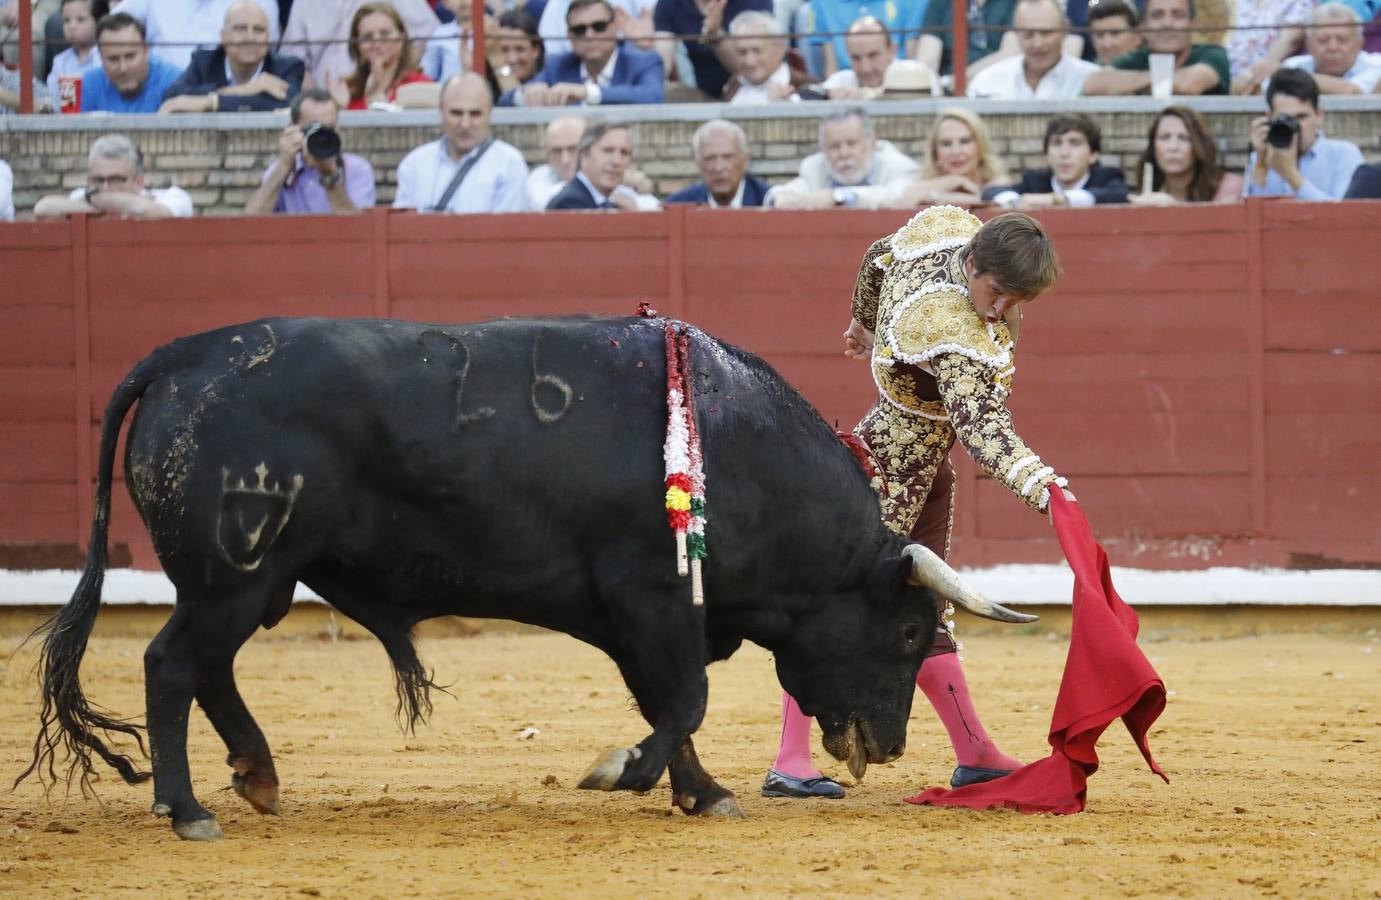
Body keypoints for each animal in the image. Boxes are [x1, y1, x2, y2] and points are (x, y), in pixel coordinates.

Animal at [16, 314, 1032, 839]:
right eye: (908, 631)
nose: (887, 747)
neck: (738, 449)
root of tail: (183, 356)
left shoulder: (635, 617)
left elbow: (671, 703)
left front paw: (700, 793)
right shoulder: (651, 599)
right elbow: (684, 701)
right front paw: (621, 773)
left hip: (252, 581)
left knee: (207, 669)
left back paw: (257, 779)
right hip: (232, 577)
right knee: (170, 666)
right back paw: (187, 808)